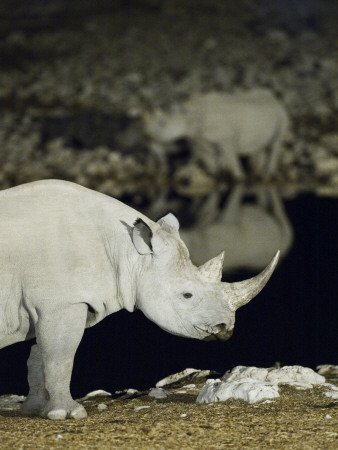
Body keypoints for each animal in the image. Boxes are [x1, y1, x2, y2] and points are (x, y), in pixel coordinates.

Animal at [143, 88, 290, 179]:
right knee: (260, 146)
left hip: (282, 112)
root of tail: (275, 98)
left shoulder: (227, 138)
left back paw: (269, 174)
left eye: (162, 123)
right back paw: (258, 173)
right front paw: (216, 176)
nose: (147, 136)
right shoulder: (201, 138)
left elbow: (231, 159)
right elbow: (210, 158)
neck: (189, 115)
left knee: (276, 142)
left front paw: (239, 177)